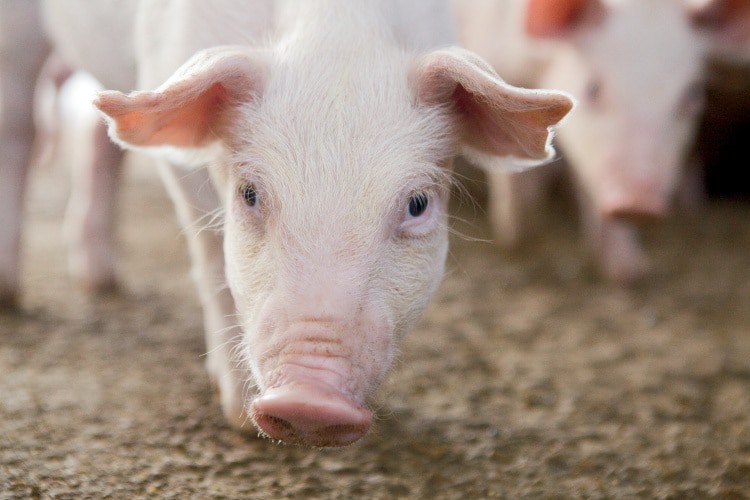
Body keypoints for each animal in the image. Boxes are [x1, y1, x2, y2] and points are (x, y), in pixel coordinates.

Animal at [33, 0, 573, 446]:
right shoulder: (181, 168)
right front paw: (238, 421)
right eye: (249, 194)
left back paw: (99, 279)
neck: (337, 33)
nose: (308, 403)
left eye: (418, 204)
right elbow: (212, 262)